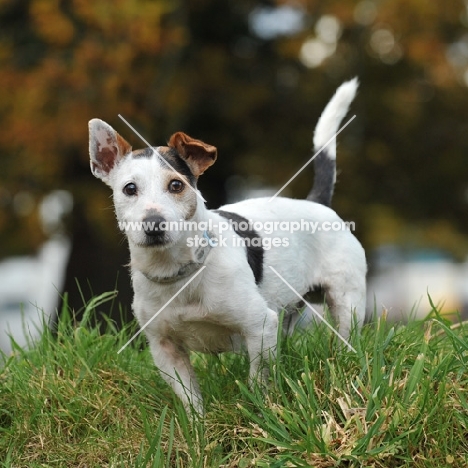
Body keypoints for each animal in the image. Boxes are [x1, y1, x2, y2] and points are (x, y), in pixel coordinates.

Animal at [88, 78, 366, 414]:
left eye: (176, 185)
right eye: (129, 189)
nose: (154, 224)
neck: (179, 272)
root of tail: (317, 203)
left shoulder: (260, 326)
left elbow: (258, 379)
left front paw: (260, 409)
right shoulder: (164, 347)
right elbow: (189, 398)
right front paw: (198, 426)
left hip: (346, 302)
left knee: (346, 333)